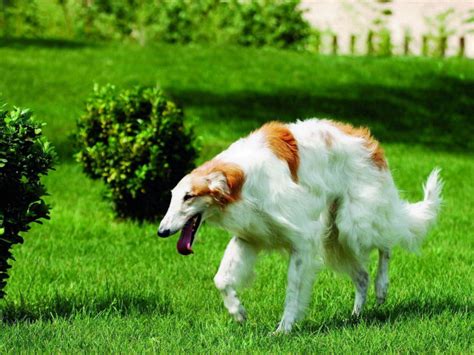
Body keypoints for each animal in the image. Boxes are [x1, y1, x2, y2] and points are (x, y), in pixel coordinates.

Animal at [157, 119, 442, 334]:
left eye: (189, 196)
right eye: (172, 196)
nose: (161, 232)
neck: (243, 180)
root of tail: (368, 140)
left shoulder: (302, 241)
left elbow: (293, 291)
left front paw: (283, 329)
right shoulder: (249, 237)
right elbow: (221, 279)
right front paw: (238, 312)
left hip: (354, 224)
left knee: (387, 243)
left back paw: (382, 289)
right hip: (334, 237)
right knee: (363, 276)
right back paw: (355, 315)